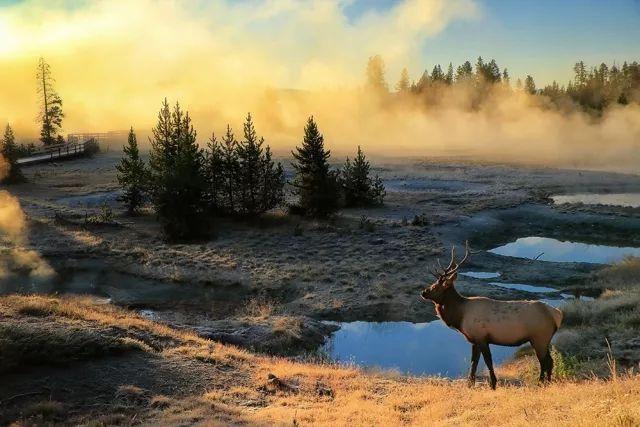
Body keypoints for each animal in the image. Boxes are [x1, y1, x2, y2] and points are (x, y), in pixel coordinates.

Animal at [422, 242, 564, 390]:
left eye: (436, 286)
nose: (423, 292)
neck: (460, 316)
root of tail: (557, 314)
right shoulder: (475, 340)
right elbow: (473, 363)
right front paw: (470, 384)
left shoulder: (481, 337)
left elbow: (487, 361)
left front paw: (493, 384)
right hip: (543, 339)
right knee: (549, 361)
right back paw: (547, 382)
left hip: (539, 337)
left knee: (545, 361)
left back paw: (541, 383)